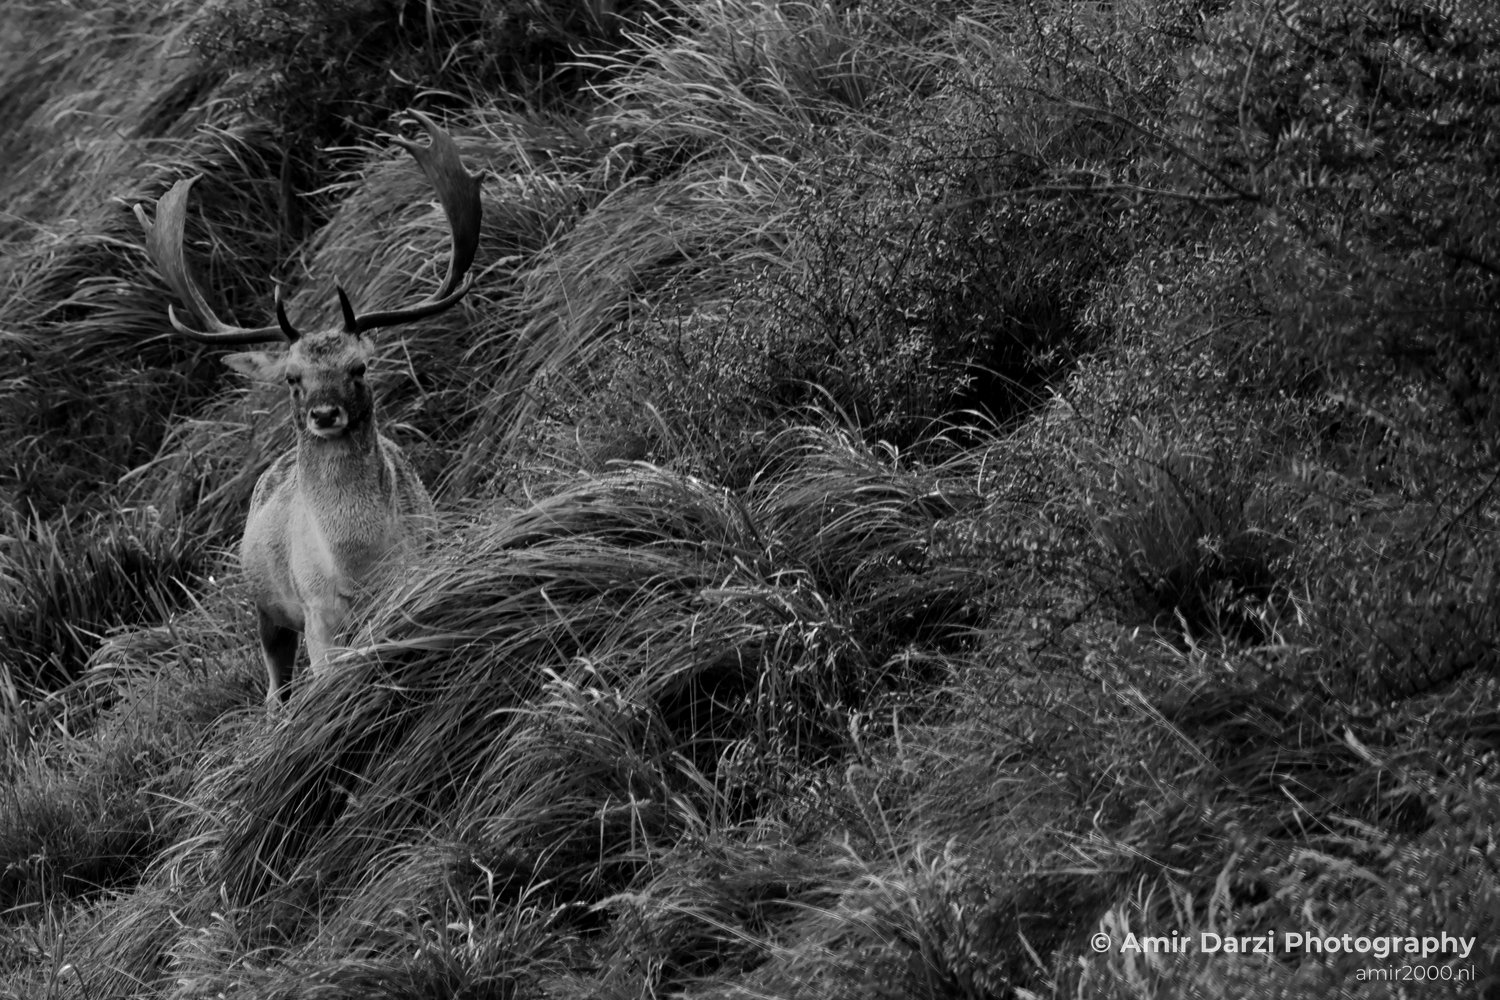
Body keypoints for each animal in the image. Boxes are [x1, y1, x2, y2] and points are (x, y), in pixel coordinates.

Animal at [134, 112, 482, 702]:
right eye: (293, 378)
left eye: (359, 367)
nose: (324, 415)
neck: (359, 567)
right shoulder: (317, 614)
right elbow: (326, 670)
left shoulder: (418, 571)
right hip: (265, 609)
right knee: (275, 684)